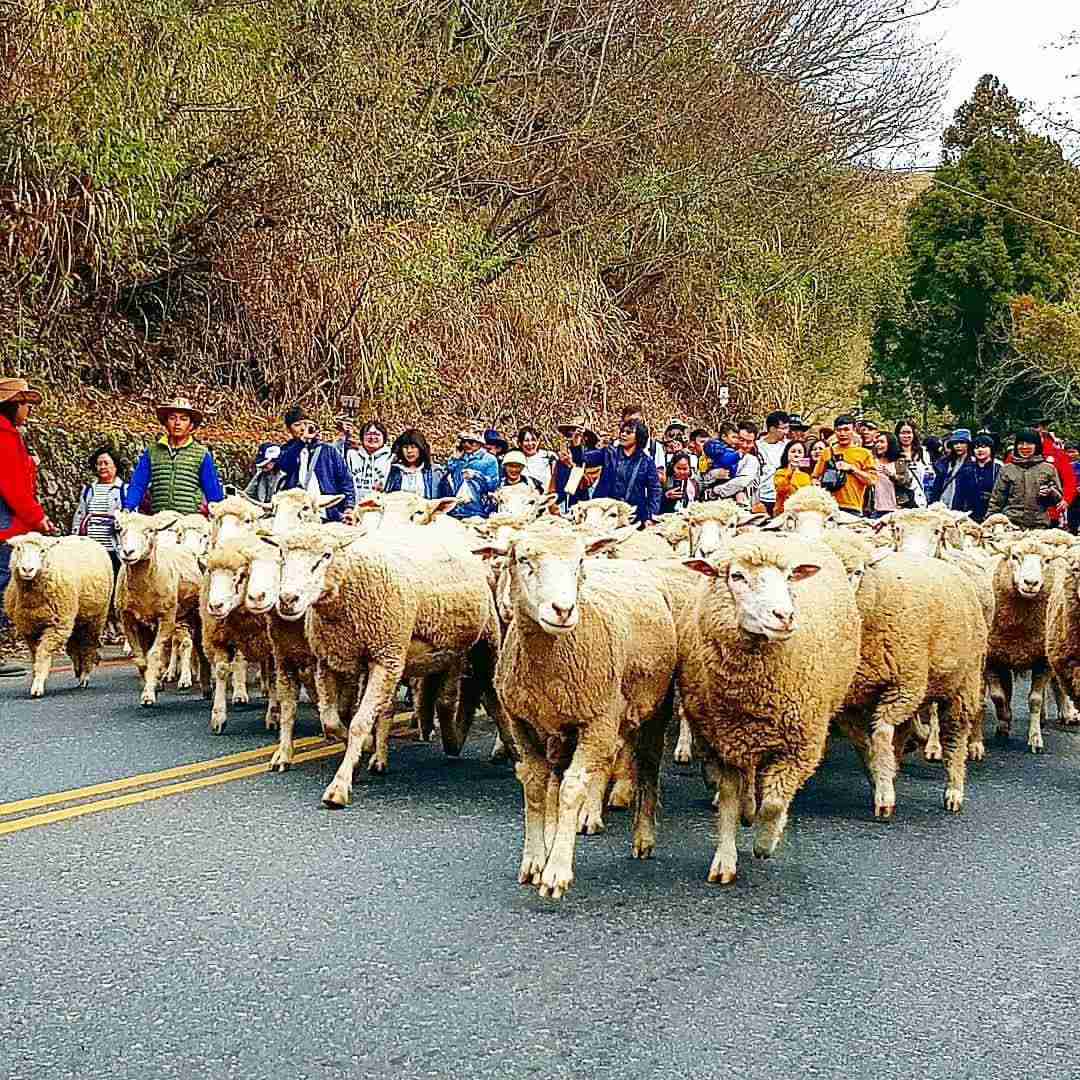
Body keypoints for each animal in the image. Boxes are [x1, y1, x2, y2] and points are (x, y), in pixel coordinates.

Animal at [3, 533, 113, 699]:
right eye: (18, 548)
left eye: (42, 551)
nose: (27, 569)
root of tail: (84, 537)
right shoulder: (30, 630)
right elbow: (36, 655)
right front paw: (37, 677)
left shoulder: (57, 626)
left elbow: (43, 654)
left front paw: (37, 686)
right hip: (76, 618)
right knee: (75, 645)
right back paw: (78, 669)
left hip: (96, 617)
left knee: (88, 645)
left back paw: (84, 674)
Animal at [673, 533, 859, 885]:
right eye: (737, 576)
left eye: (788, 578)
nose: (784, 616)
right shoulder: (724, 742)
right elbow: (729, 800)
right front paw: (725, 859)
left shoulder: (800, 745)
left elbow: (773, 803)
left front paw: (765, 841)